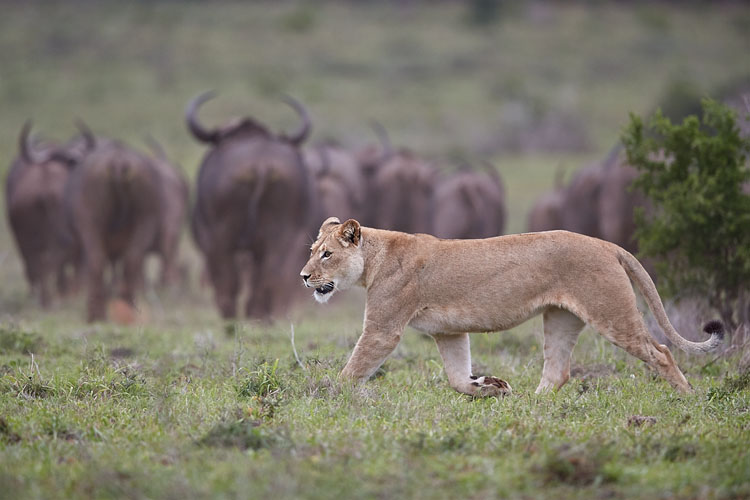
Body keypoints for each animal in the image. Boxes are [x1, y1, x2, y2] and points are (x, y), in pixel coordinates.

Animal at [189, 92, 318, 318]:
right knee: (269, 274)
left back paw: (232, 318)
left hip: (220, 239)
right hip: (280, 238)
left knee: (228, 280)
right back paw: (258, 316)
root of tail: (262, 166)